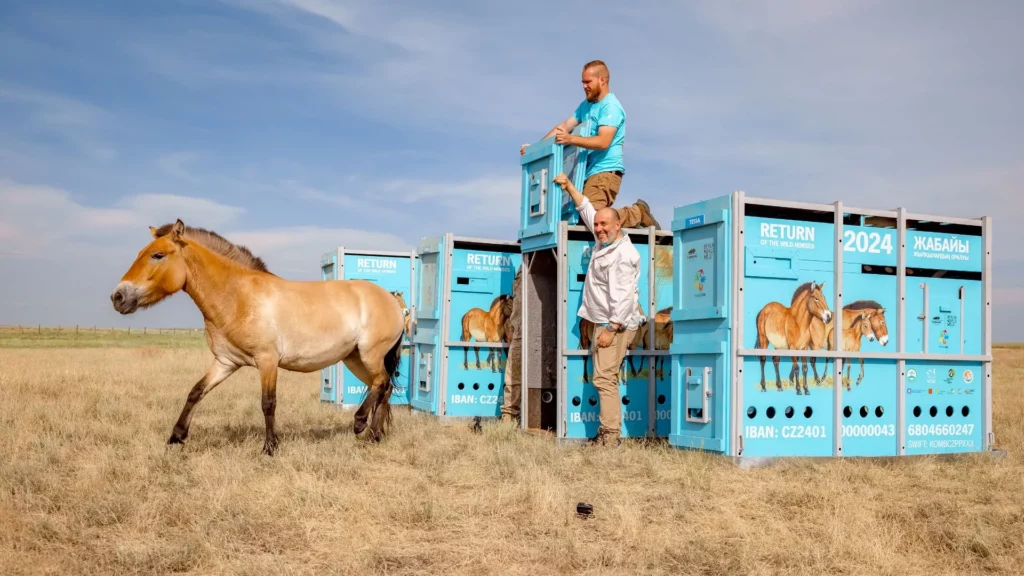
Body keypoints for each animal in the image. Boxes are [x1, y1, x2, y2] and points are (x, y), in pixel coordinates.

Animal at [108, 219, 403, 453]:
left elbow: (268, 403)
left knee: (380, 383)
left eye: (157, 255)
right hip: (354, 358)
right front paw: (176, 437)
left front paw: (270, 447)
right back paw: (375, 435)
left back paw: (360, 423)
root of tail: (393, 300)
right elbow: (195, 392)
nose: (118, 297)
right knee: (384, 387)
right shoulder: (226, 362)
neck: (238, 297)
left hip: (370, 354)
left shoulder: (267, 361)